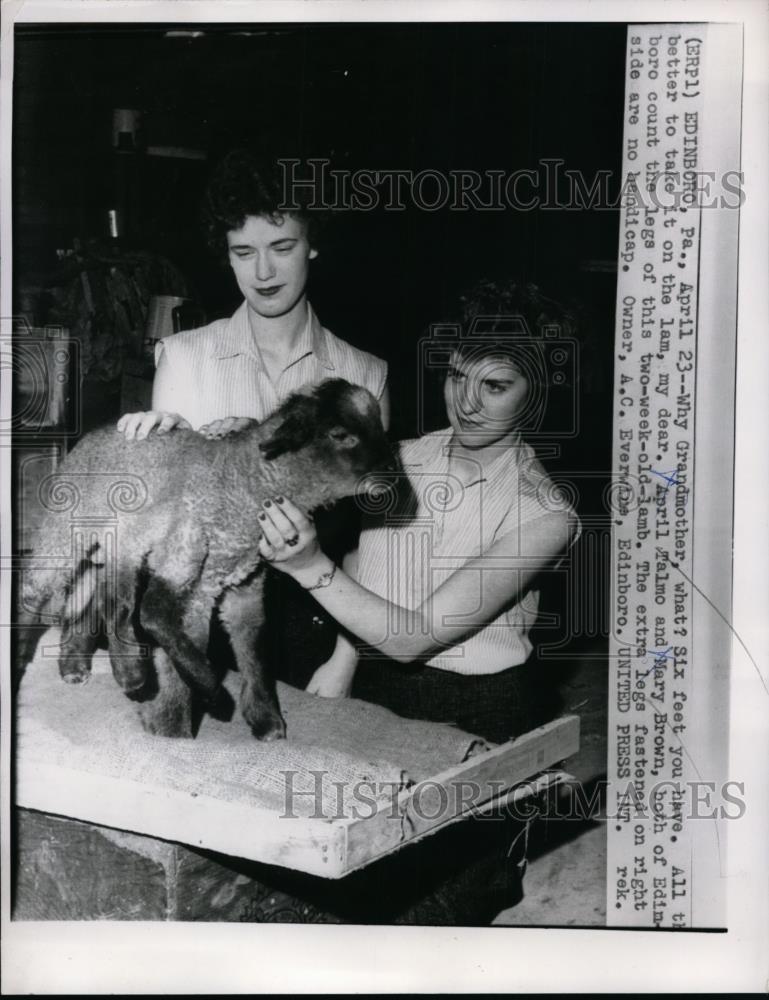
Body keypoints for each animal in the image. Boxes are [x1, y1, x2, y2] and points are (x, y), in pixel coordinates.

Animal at [18, 378, 396, 740]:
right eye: (340, 435)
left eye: (381, 428)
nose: (393, 473)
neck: (244, 481)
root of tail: (92, 434)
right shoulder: (192, 579)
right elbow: (170, 641)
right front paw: (178, 725)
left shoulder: (244, 588)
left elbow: (254, 652)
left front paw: (267, 721)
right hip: (67, 534)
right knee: (35, 593)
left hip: (117, 545)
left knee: (98, 599)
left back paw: (82, 667)